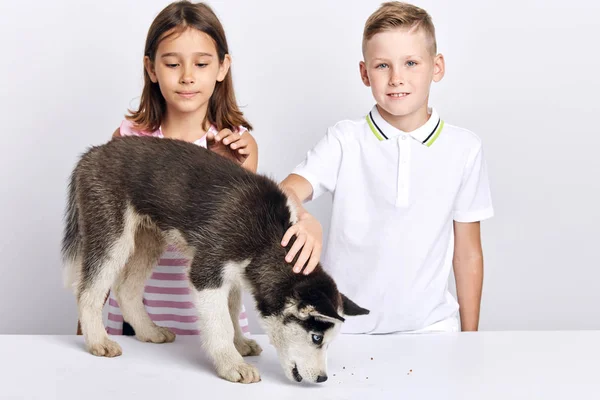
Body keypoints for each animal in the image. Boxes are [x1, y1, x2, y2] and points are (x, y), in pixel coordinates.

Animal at [63, 137, 368, 384]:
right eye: (317, 338)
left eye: (329, 341)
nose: (323, 379)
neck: (269, 236)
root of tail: (93, 152)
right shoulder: (207, 272)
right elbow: (220, 323)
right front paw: (232, 363)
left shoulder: (233, 275)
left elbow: (232, 312)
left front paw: (240, 343)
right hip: (113, 235)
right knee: (88, 291)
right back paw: (98, 340)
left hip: (150, 240)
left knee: (126, 289)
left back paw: (148, 331)